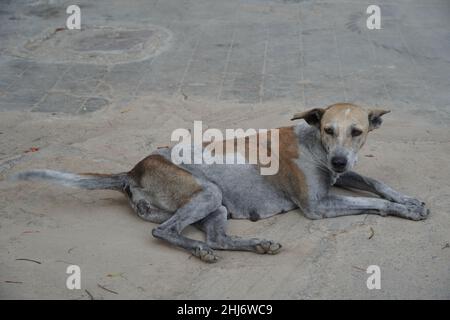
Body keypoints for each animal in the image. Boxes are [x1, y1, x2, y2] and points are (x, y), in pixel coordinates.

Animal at [12, 102, 430, 262]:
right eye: (329, 129)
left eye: (357, 132)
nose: (339, 160)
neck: (314, 144)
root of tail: (134, 170)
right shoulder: (317, 206)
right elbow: (373, 202)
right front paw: (404, 210)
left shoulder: (343, 174)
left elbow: (375, 181)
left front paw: (408, 198)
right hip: (207, 192)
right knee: (164, 232)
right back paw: (199, 250)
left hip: (218, 204)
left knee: (219, 238)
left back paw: (257, 244)